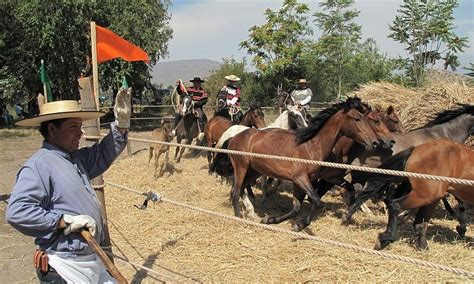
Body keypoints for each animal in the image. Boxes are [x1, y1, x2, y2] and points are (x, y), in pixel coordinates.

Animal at [222, 97, 382, 231]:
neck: (311, 146)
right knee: (235, 191)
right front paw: (300, 225)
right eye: (357, 118)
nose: (375, 142)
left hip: (254, 171)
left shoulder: (301, 182)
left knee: (241, 190)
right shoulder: (300, 178)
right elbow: (316, 200)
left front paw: (270, 220)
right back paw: (238, 216)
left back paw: (250, 212)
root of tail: (235, 137)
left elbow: (297, 207)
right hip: (241, 168)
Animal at [344, 140, 474, 251]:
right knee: (395, 205)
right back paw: (385, 239)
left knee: (419, 222)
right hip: (425, 195)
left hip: (429, 196)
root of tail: (415, 150)